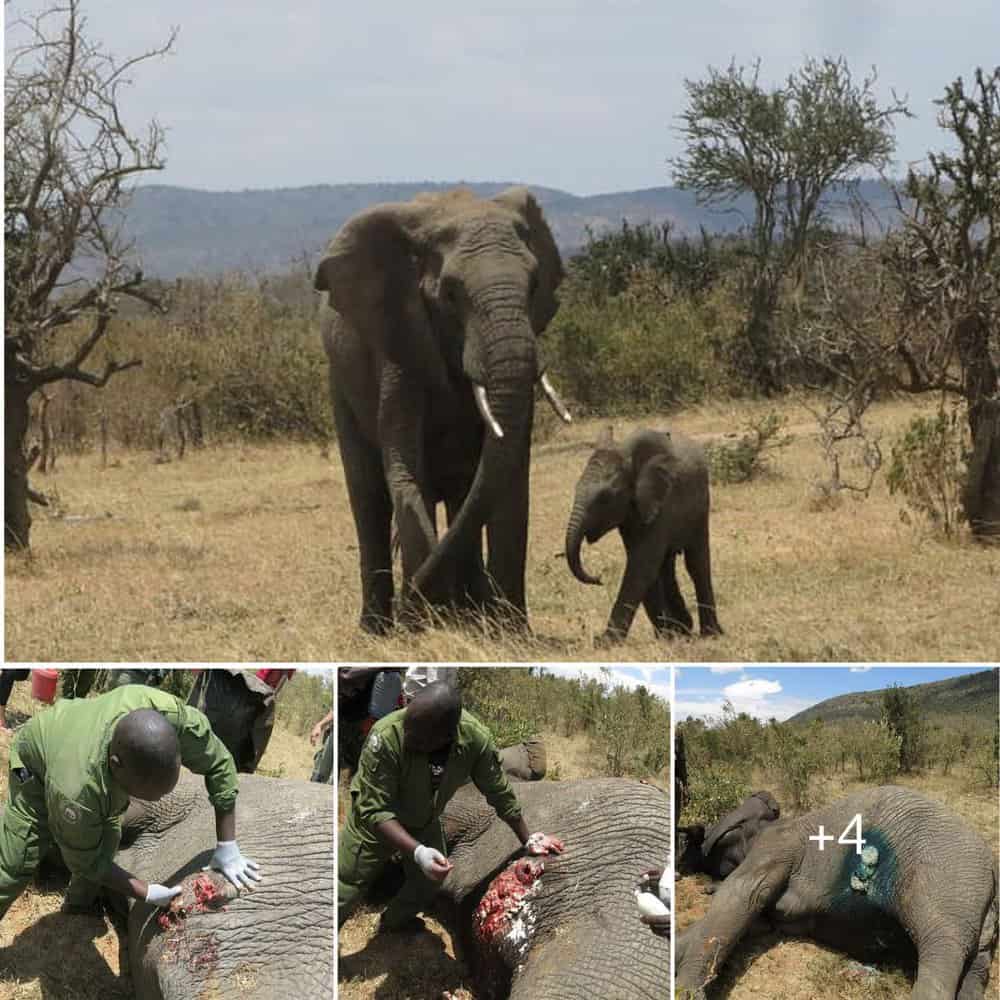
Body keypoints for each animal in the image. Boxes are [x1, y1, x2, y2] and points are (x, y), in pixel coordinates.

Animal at [314, 187, 568, 634]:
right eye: (450, 294)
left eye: (535, 284)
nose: (410, 604)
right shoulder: (400, 346)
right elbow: (405, 472)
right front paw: (421, 625)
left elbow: (510, 483)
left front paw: (509, 633)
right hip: (340, 384)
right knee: (368, 496)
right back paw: (379, 628)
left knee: (462, 495)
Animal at [565, 426, 722, 645]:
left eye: (605, 498)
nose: (599, 578)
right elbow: (644, 564)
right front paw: (668, 635)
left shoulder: (662, 503)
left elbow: (642, 564)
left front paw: (605, 643)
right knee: (666, 566)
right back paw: (683, 629)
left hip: (700, 507)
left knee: (697, 564)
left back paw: (710, 634)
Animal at [676, 786, 998, 1000]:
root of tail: (993, 870)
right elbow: (752, 920)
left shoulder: (776, 846)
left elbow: (740, 896)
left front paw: (685, 990)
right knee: (976, 966)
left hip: (949, 875)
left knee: (942, 948)